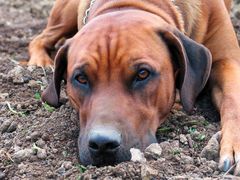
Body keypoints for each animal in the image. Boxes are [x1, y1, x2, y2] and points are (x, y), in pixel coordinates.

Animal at [28, 0, 240, 173]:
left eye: (143, 74)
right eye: (81, 78)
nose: (102, 144)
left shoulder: (228, 61)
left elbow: (233, 101)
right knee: (39, 38)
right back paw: (39, 62)